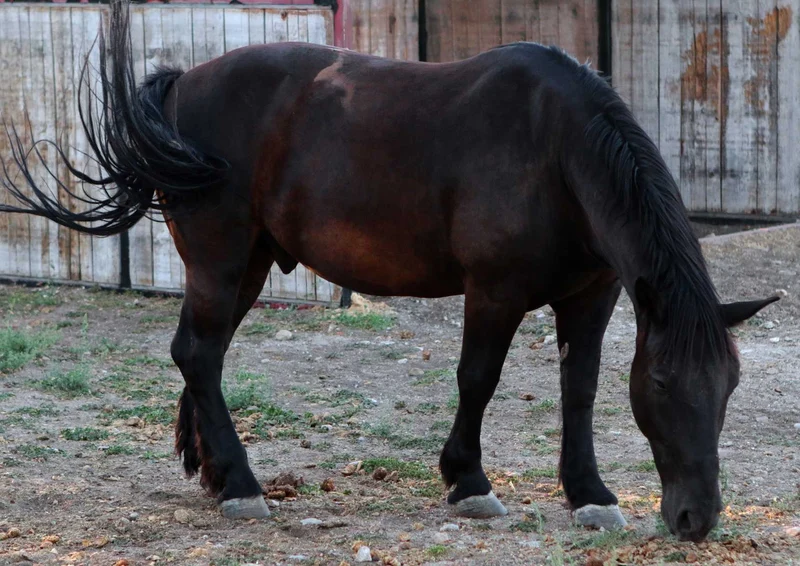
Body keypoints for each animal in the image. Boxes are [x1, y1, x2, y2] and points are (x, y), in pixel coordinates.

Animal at [0, 0, 777, 542]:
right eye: (663, 383)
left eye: (730, 385)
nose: (697, 519)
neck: (556, 151)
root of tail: (182, 82)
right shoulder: (493, 293)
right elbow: (478, 378)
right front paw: (469, 481)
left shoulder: (594, 295)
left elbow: (579, 391)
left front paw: (590, 495)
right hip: (220, 262)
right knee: (198, 353)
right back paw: (243, 484)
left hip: (246, 265)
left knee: (201, 356)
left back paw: (216, 474)